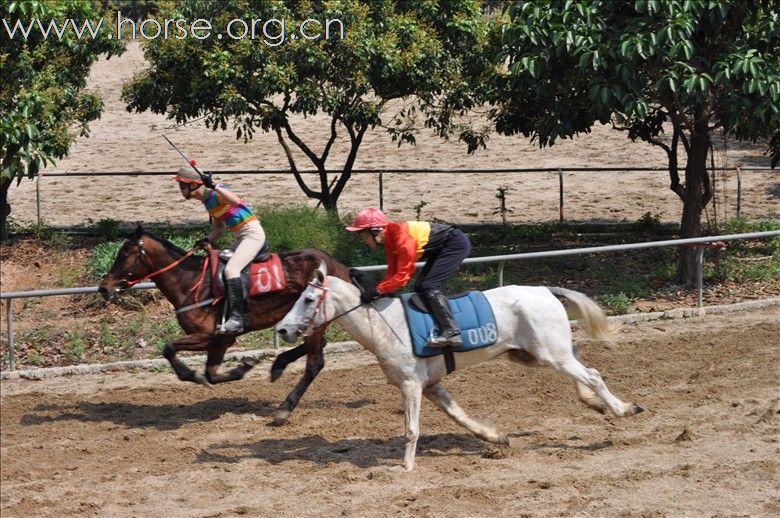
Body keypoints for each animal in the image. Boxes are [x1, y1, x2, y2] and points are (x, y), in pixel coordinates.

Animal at [97, 225, 350, 424]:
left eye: (124, 254)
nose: (104, 288)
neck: (190, 282)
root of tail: (338, 265)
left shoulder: (209, 334)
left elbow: (169, 349)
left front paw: (194, 374)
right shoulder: (219, 340)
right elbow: (211, 373)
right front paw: (243, 367)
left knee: (314, 364)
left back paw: (284, 409)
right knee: (318, 346)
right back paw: (279, 364)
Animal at [278, 266, 644, 474]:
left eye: (308, 299)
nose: (282, 329)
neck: (382, 324)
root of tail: (545, 290)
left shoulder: (411, 385)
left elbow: (411, 429)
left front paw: (405, 466)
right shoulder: (431, 385)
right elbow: (459, 415)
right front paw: (496, 437)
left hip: (550, 353)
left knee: (592, 374)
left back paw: (623, 408)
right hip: (538, 352)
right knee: (583, 363)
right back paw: (600, 403)